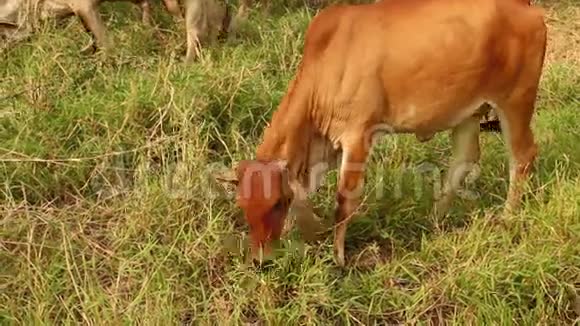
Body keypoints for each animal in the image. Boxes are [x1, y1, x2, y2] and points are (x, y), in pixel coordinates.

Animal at [216, 0, 548, 266]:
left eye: (277, 203)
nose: (261, 260)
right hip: (468, 112)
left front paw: (338, 257)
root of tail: (525, 8)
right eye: (242, 204)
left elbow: (343, 200)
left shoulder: (358, 135)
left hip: (515, 102)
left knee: (522, 156)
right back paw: (436, 218)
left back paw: (508, 217)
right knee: (464, 161)